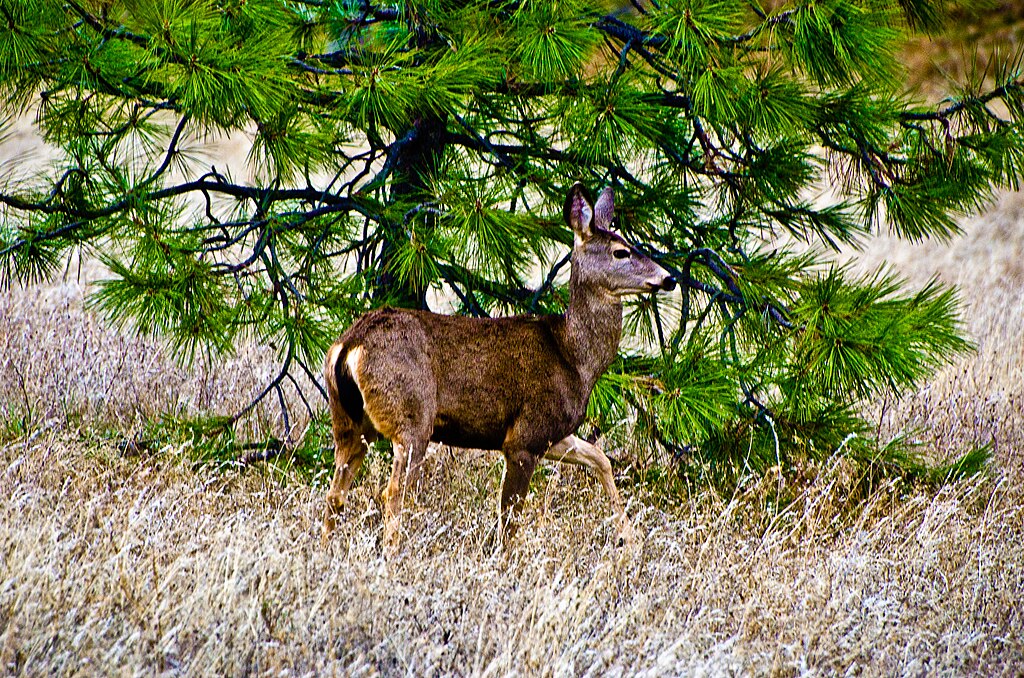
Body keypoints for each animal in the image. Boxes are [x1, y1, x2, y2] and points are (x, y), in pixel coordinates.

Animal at [321, 183, 676, 549]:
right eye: (621, 252)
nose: (669, 278)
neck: (573, 357)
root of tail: (349, 345)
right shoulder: (524, 437)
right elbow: (510, 516)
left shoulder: (551, 434)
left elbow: (600, 458)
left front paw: (629, 538)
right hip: (412, 417)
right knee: (394, 492)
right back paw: (392, 555)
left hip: (348, 421)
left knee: (335, 494)